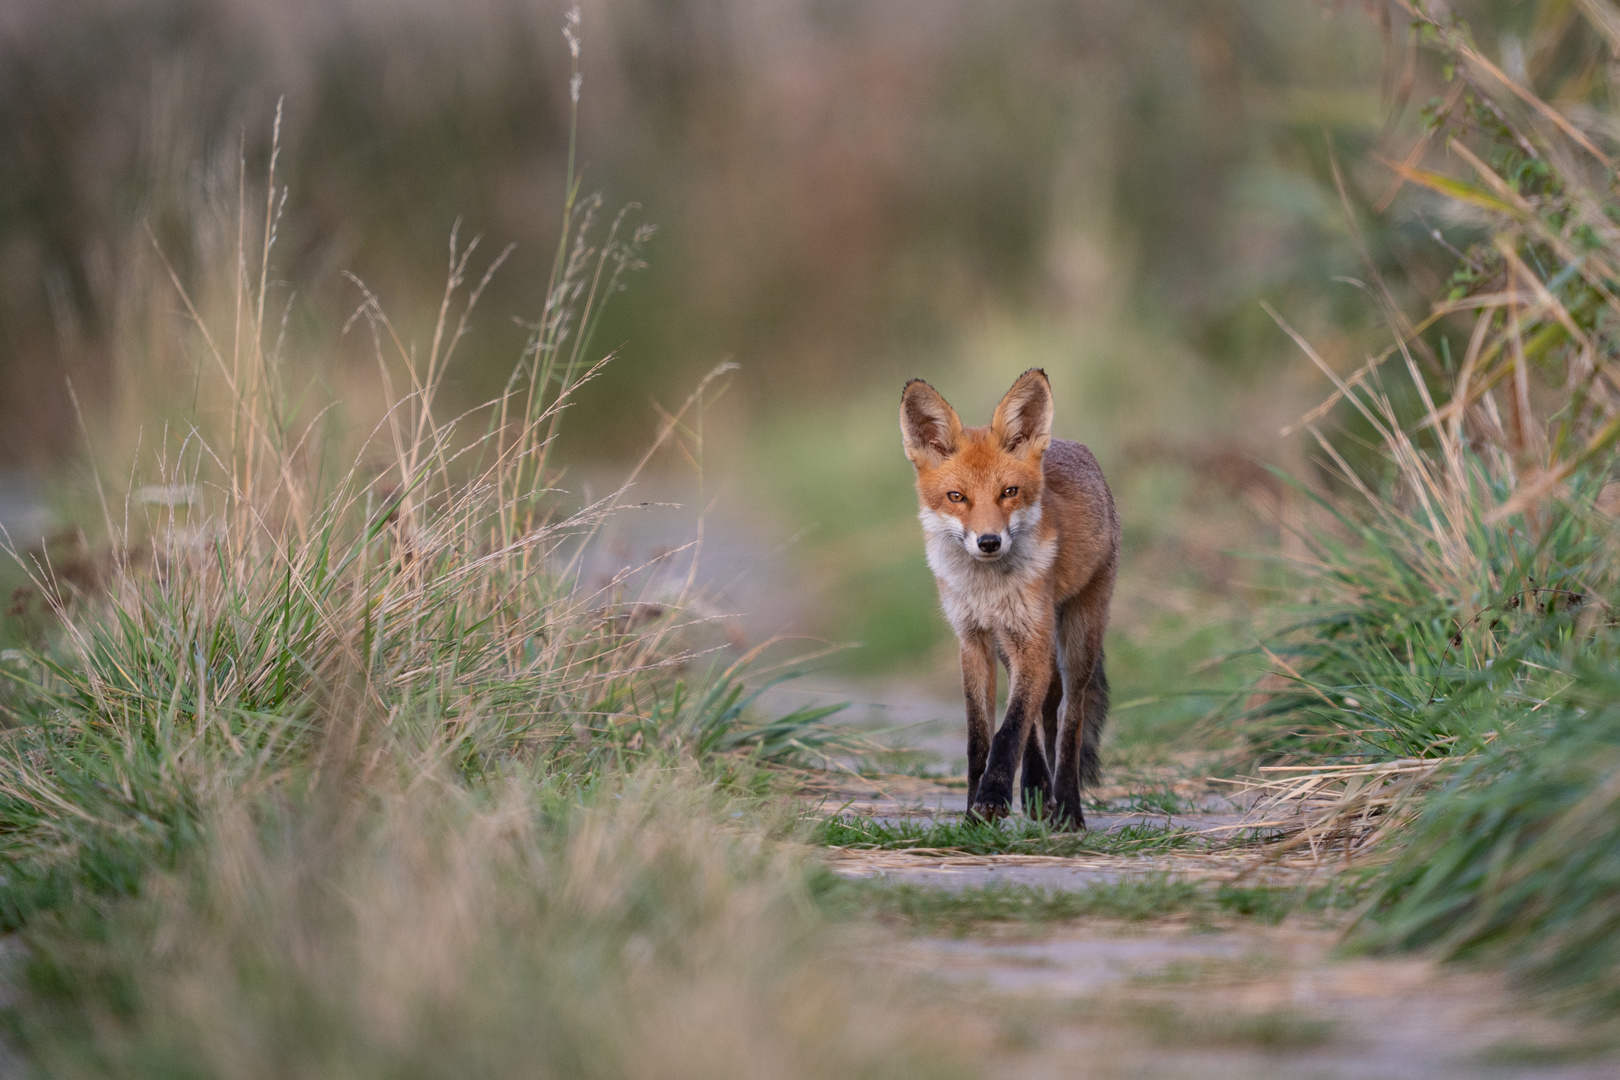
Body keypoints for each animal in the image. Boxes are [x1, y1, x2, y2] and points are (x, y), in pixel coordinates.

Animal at [900, 372, 1114, 829]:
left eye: (1009, 492)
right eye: (956, 496)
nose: (988, 541)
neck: (987, 590)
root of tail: (1071, 444)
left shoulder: (1031, 640)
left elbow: (1009, 728)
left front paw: (994, 796)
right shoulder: (974, 641)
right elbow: (980, 737)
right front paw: (971, 816)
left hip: (1078, 637)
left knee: (1068, 718)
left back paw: (1067, 810)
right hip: (1011, 644)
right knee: (1039, 716)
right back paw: (1037, 790)